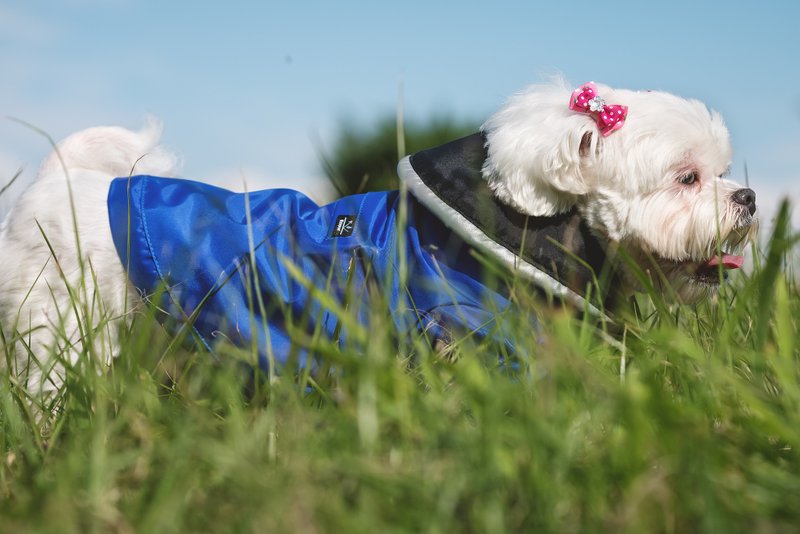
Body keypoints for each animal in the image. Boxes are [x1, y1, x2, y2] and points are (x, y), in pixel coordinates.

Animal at [0, 80, 756, 402]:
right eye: (687, 179)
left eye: (723, 172)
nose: (748, 199)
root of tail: (61, 179)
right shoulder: (462, 339)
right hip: (58, 321)